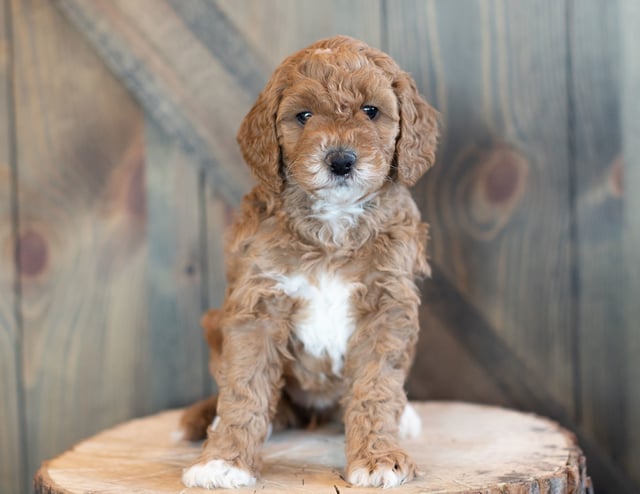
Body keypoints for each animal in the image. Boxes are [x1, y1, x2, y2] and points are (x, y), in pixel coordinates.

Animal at [182, 35, 438, 490]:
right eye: (303, 116)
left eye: (371, 111)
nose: (340, 160)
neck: (334, 223)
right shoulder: (258, 302)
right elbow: (244, 387)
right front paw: (224, 462)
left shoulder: (387, 304)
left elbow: (376, 388)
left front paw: (378, 458)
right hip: (214, 324)